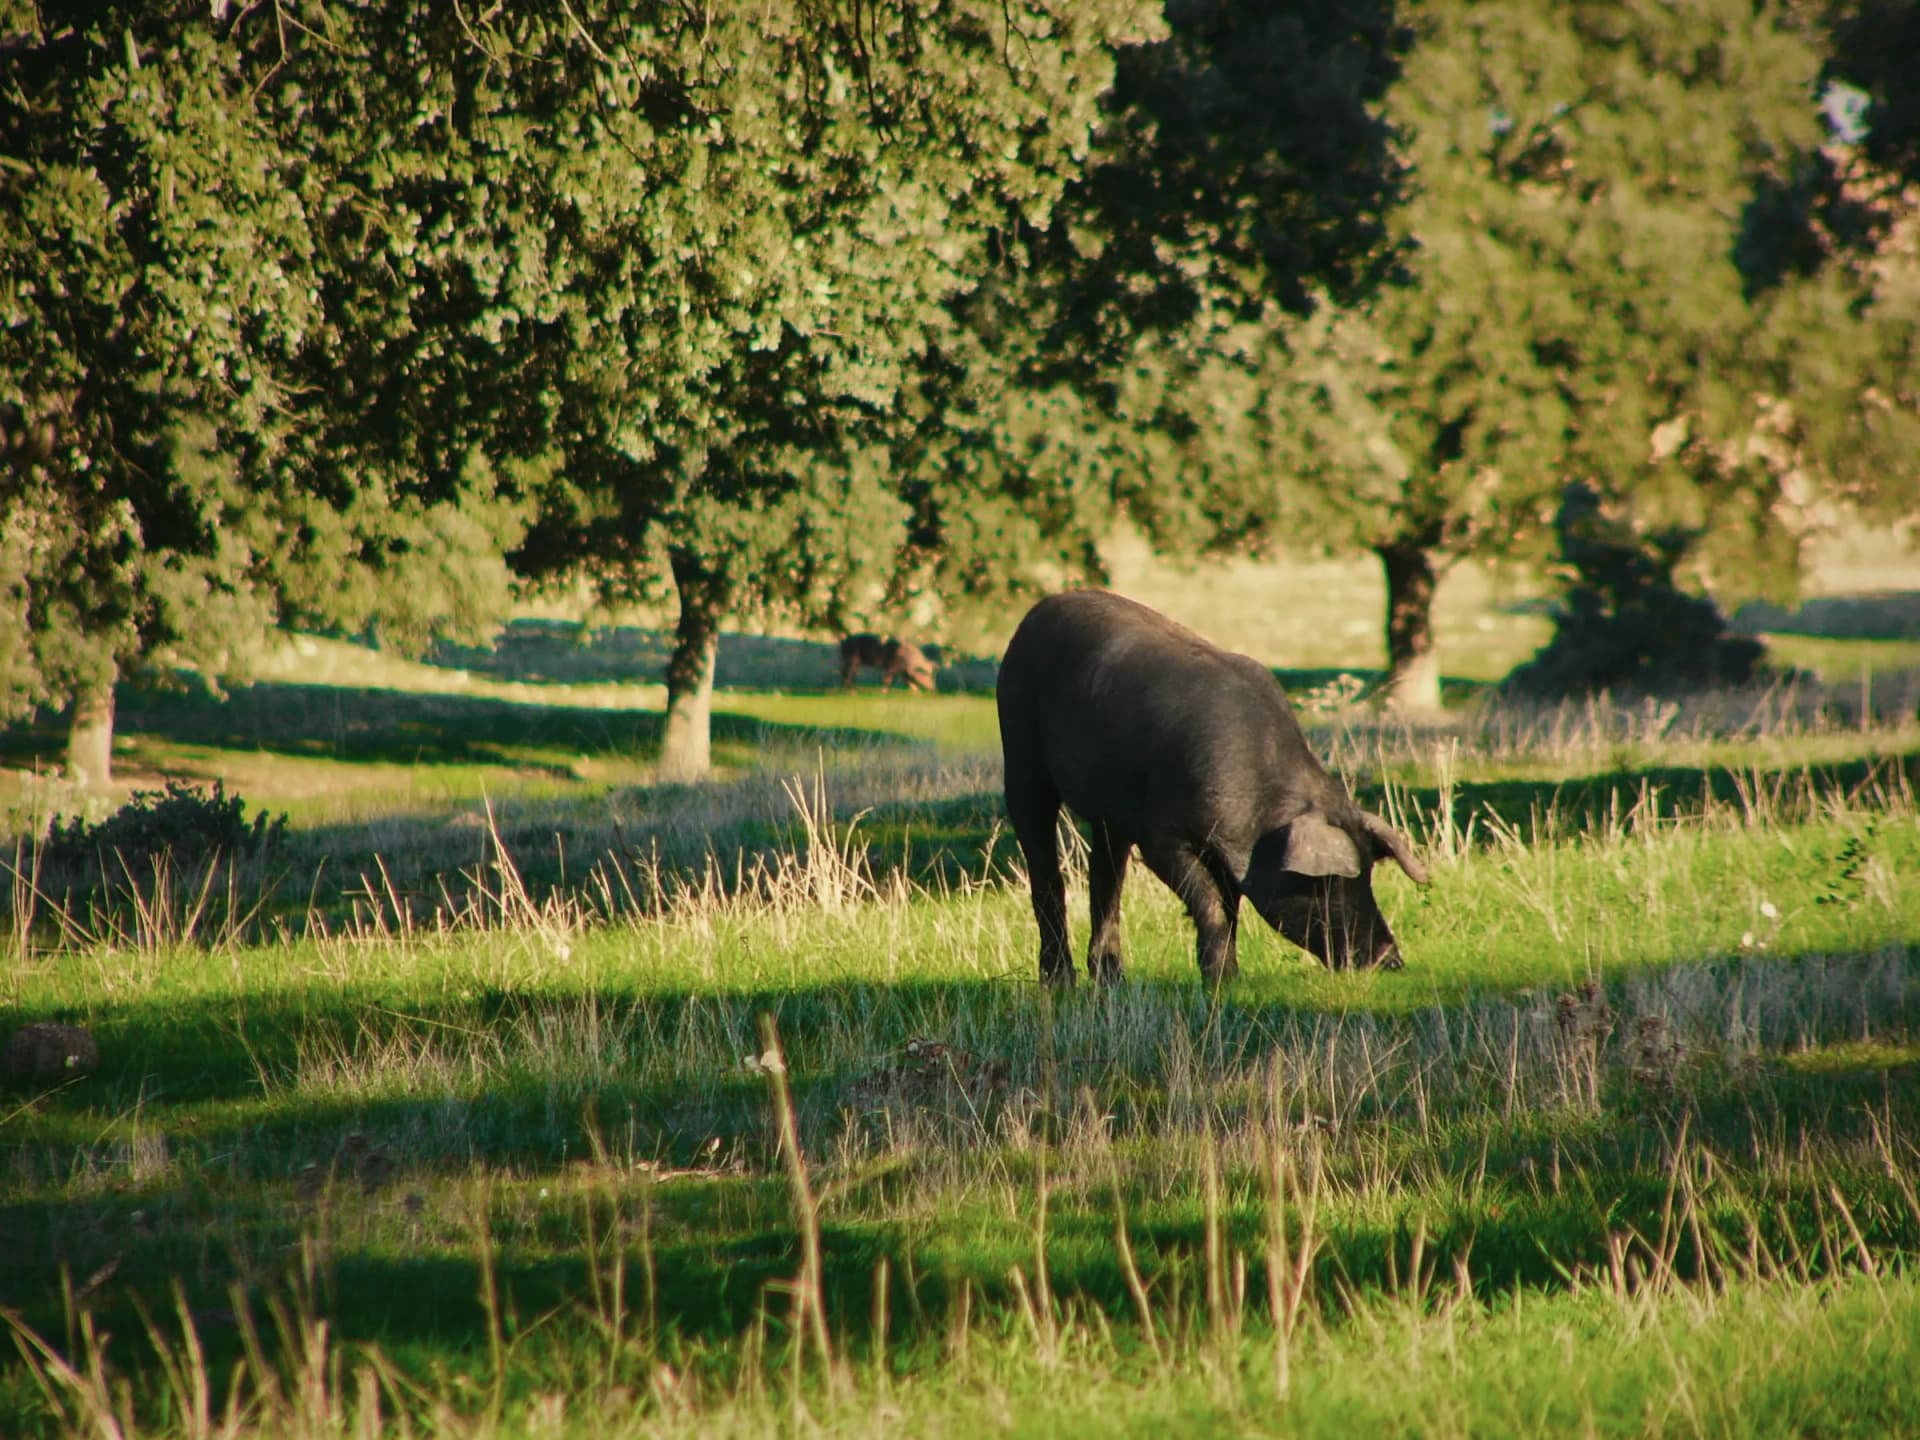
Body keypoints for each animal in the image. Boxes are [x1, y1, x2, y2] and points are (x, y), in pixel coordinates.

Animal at [996, 590, 1428, 985]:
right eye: (1332, 884)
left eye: (1369, 876)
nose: (1391, 960)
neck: (1261, 813)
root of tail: (1039, 609)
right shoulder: (1162, 836)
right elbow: (1209, 903)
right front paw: (1219, 980)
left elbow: (1230, 907)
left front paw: (1230, 978)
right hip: (1019, 746)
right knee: (1043, 863)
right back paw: (1059, 981)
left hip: (1110, 811)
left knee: (1105, 875)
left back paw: (1112, 979)